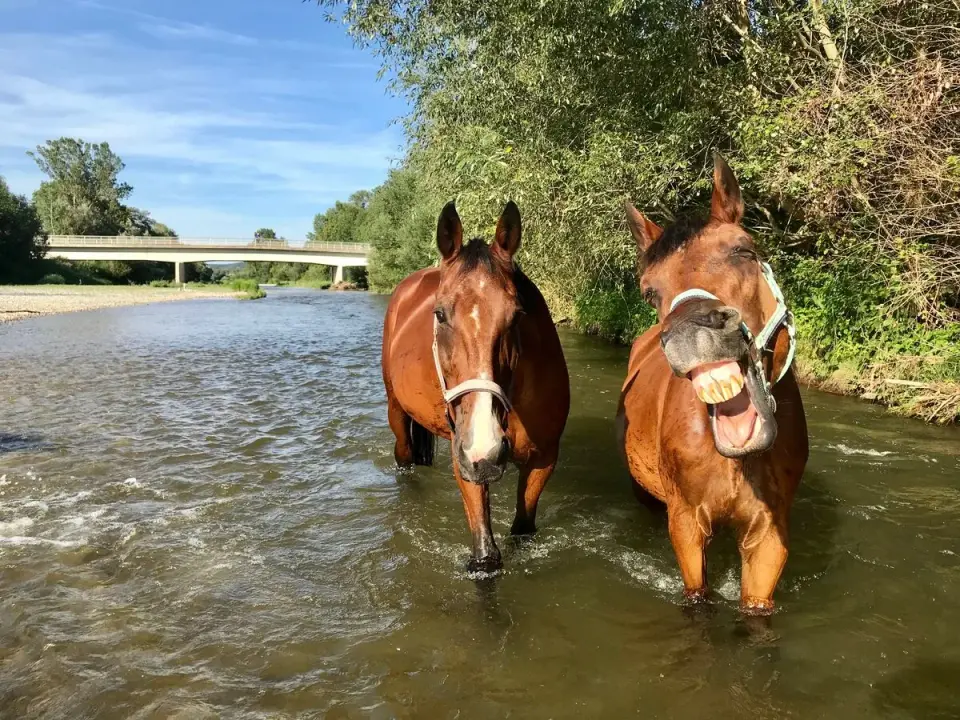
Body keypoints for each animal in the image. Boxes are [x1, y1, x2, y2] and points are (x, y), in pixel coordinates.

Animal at [381, 200, 570, 572]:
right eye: (439, 314)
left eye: (516, 315)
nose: (486, 448)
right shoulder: (466, 461)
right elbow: (485, 557)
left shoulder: (543, 460)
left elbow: (522, 529)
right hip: (397, 413)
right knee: (404, 457)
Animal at [617, 154, 809, 615]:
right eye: (650, 291)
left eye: (743, 250)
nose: (690, 331)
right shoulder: (686, 524)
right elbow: (697, 595)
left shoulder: (769, 535)